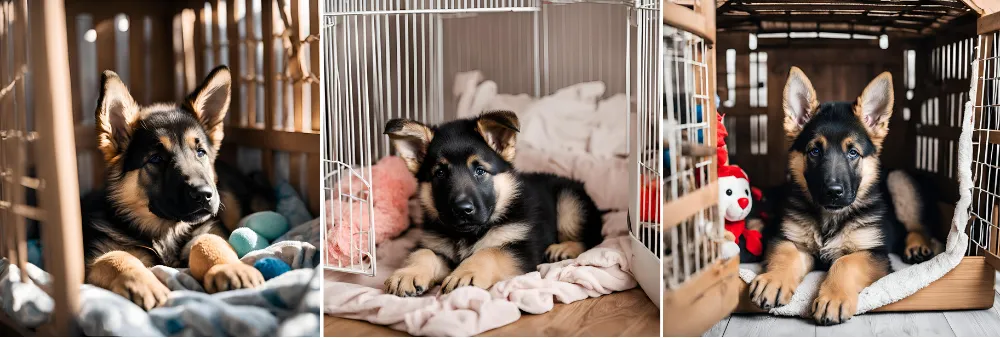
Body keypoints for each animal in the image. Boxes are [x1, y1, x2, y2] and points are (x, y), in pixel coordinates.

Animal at [82, 65, 272, 308]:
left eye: (200, 152)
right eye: (156, 159)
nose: (204, 195)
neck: (165, 230)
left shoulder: (209, 228)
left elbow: (210, 243)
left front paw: (229, 268)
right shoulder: (96, 256)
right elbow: (117, 257)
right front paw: (143, 283)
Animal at [382, 111, 600, 296]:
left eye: (480, 171)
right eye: (440, 173)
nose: (462, 210)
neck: (468, 235)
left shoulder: (523, 250)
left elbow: (491, 252)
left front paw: (466, 272)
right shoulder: (434, 244)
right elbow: (423, 252)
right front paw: (408, 273)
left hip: (570, 203)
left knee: (591, 238)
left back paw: (564, 249)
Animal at [752, 66, 936, 324]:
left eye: (853, 153)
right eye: (815, 151)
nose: (833, 192)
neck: (830, 219)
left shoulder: (873, 253)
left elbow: (845, 262)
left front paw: (833, 298)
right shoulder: (793, 241)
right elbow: (785, 255)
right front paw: (774, 280)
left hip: (899, 180)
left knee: (919, 226)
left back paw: (917, 246)